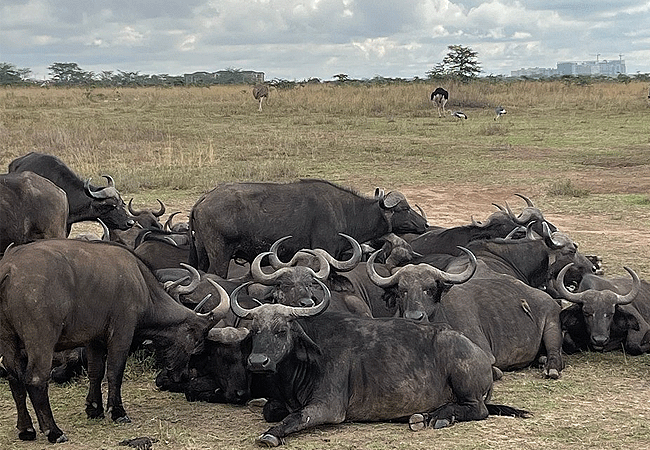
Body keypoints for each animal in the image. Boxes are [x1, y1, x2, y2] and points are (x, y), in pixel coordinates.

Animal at [0, 239, 229, 442]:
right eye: (195, 342)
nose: (182, 376)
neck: (141, 283)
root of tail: (9, 269)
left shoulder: (93, 339)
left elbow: (95, 371)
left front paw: (94, 409)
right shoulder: (121, 334)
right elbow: (114, 372)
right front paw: (118, 412)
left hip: (8, 341)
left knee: (14, 378)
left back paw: (26, 429)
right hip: (41, 342)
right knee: (35, 379)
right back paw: (54, 432)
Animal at [190, 178, 428, 278]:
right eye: (404, 208)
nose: (425, 224)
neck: (346, 211)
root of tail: (204, 199)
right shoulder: (326, 251)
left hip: (202, 255)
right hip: (220, 257)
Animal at [228, 284, 528, 446]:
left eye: (281, 330)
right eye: (255, 330)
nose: (258, 361)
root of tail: (480, 355)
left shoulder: (328, 406)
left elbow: (295, 417)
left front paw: (271, 435)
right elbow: (271, 409)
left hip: (465, 381)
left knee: (478, 410)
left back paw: (438, 416)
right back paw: (421, 417)